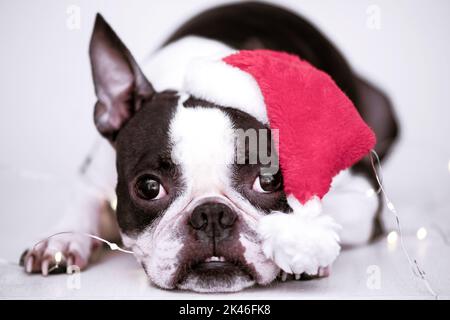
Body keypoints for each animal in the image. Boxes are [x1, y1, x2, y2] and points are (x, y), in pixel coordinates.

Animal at [20, 1, 398, 292]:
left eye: (268, 181)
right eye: (149, 187)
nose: (212, 214)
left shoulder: (363, 195)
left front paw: (300, 246)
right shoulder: (93, 173)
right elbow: (82, 204)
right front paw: (60, 241)